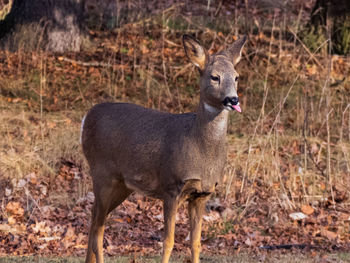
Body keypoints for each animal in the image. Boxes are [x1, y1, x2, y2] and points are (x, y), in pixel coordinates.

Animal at [81, 35, 246, 263]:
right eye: (215, 77)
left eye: (236, 77)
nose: (233, 99)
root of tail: (86, 117)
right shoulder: (171, 187)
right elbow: (168, 241)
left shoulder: (202, 193)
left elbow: (196, 243)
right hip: (102, 172)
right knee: (98, 226)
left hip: (122, 184)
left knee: (94, 215)